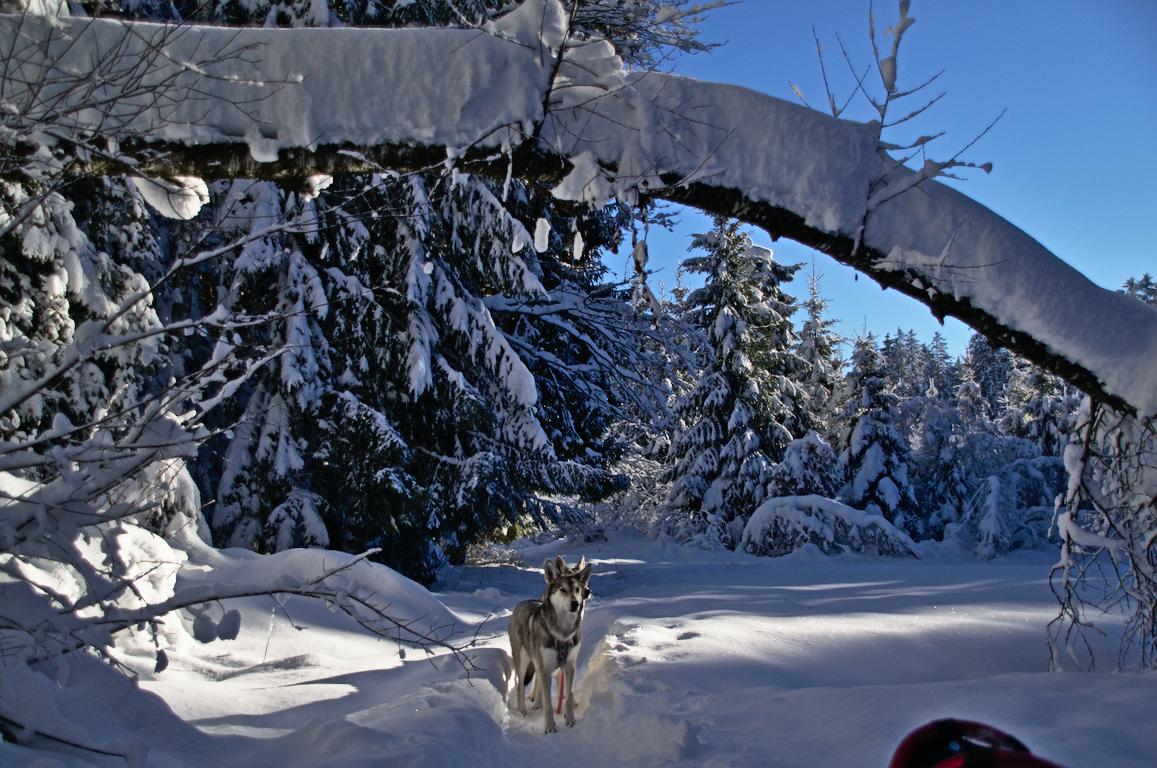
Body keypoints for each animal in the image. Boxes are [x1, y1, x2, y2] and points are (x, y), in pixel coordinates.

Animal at [508, 555, 592, 733]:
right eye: (563, 590)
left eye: (578, 589)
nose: (575, 603)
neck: (562, 633)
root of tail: (522, 603)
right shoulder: (544, 669)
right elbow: (547, 703)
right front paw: (549, 727)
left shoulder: (569, 666)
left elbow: (568, 695)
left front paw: (570, 720)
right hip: (523, 660)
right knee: (520, 685)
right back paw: (523, 710)